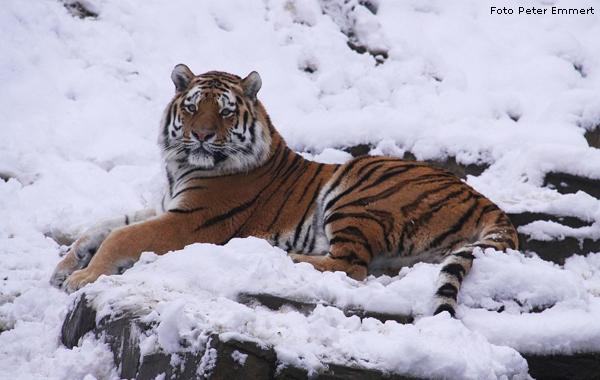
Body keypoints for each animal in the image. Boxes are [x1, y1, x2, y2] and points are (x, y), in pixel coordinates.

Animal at [51, 63, 516, 316]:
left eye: (224, 112)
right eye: (192, 107)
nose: (200, 135)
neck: (180, 167)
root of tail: (484, 199)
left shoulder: (188, 222)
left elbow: (122, 235)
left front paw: (83, 277)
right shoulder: (166, 205)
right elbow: (105, 224)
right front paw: (65, 265)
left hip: (357, 185)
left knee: (352, 265)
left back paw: (280, 256)